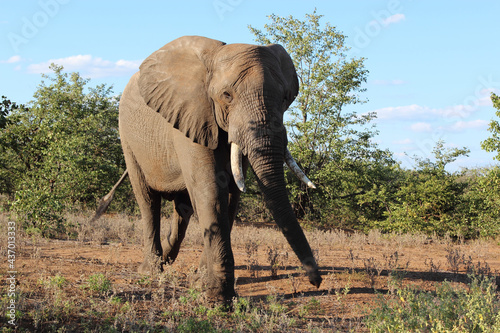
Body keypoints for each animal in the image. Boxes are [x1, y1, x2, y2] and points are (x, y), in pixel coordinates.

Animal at [96, 35, 324, 300]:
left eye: (286, 98)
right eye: (227, 95)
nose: (316, 281)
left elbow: (231, 197)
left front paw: (201, 283)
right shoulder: (192, 113)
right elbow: (211, 193)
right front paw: (218, 297)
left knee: (183, 208)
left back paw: (166, 260)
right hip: (128, 137)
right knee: (148, 201)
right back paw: (151, 270)